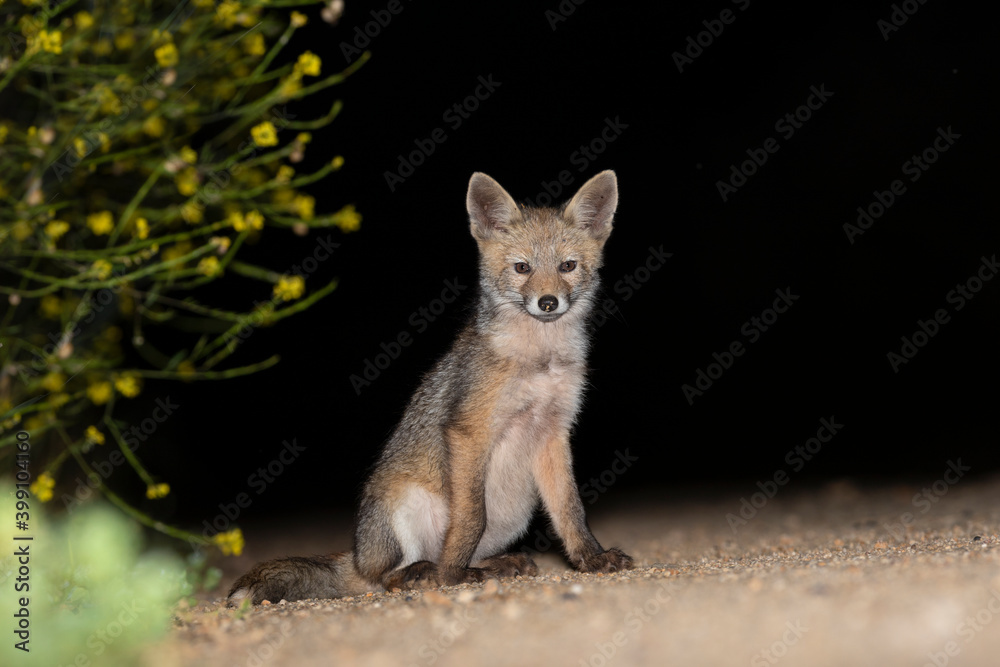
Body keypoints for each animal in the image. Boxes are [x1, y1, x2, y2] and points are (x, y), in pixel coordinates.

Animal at [227, 170, 633, 605]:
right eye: (522, 267)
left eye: (567, 266)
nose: (547, 302)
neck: (539, 361)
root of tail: (358, 555)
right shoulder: (468, 430)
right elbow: (470, 518)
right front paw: (453, 576)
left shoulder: (554, 432)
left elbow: (570, 511)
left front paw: (591, 558)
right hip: (404, 505)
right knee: (389, 576)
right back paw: (427, 572)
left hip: (516, 510)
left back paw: (494, 564)